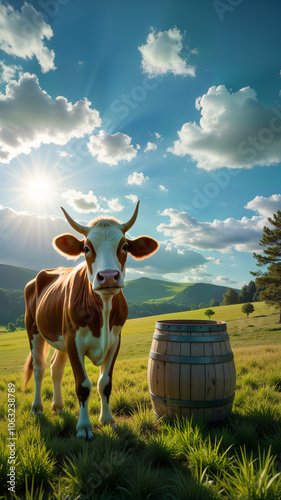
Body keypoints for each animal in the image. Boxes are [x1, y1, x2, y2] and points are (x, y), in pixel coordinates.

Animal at [22, 202, 158, 438]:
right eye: (86, 248)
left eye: (125, 246)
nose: (109, 276)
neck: (103, 307)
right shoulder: (73, 340)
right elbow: (82, 385)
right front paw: (84, 427)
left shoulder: (114, 341)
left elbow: (105, 383)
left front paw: (108, 420)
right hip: (34, 331)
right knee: (39, 369)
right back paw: (37, 408)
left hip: (59, 338)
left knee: (55, 368)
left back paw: (58, 406)